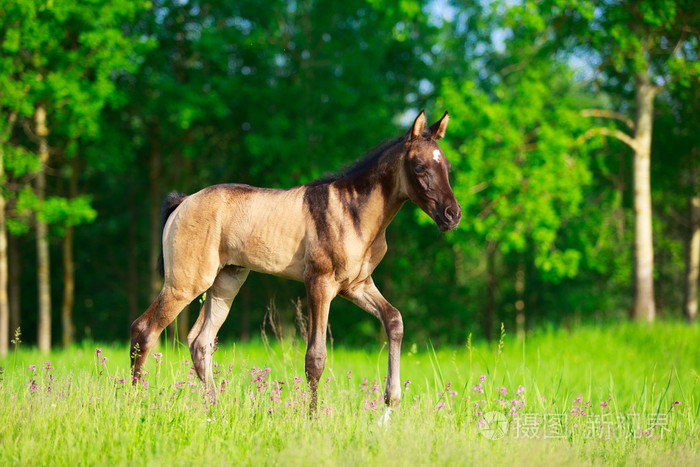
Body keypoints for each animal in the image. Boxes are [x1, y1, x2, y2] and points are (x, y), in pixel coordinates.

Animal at [129, 110, 462, 420]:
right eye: (419, 167)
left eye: (446, 167)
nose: (452, 214)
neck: (351, 212)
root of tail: (183, 202)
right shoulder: (319, 283)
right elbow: (315, 357)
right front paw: (313, 420)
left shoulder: (357, 285)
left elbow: (394, 320)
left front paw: (389, 405)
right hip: (185, 283)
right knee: (144, 330)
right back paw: (136, 404)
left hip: (225, 283)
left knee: (200, 342)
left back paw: (218, 411)